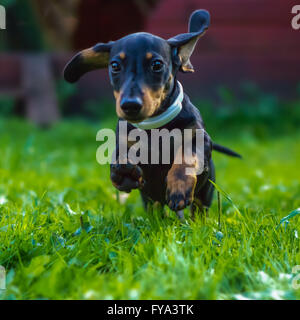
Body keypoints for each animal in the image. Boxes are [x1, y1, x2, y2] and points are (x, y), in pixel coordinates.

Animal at [63, 10, 241, 220]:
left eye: (156, 65)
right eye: (114, 66)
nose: (130, 105)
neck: (155, 126)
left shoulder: (198, 137)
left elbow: (186, 157)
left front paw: (178, 188)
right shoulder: (124, 141)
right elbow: (120, 155)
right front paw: (124, 172)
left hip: (205, 192)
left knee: (198, 209)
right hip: (151, 202)